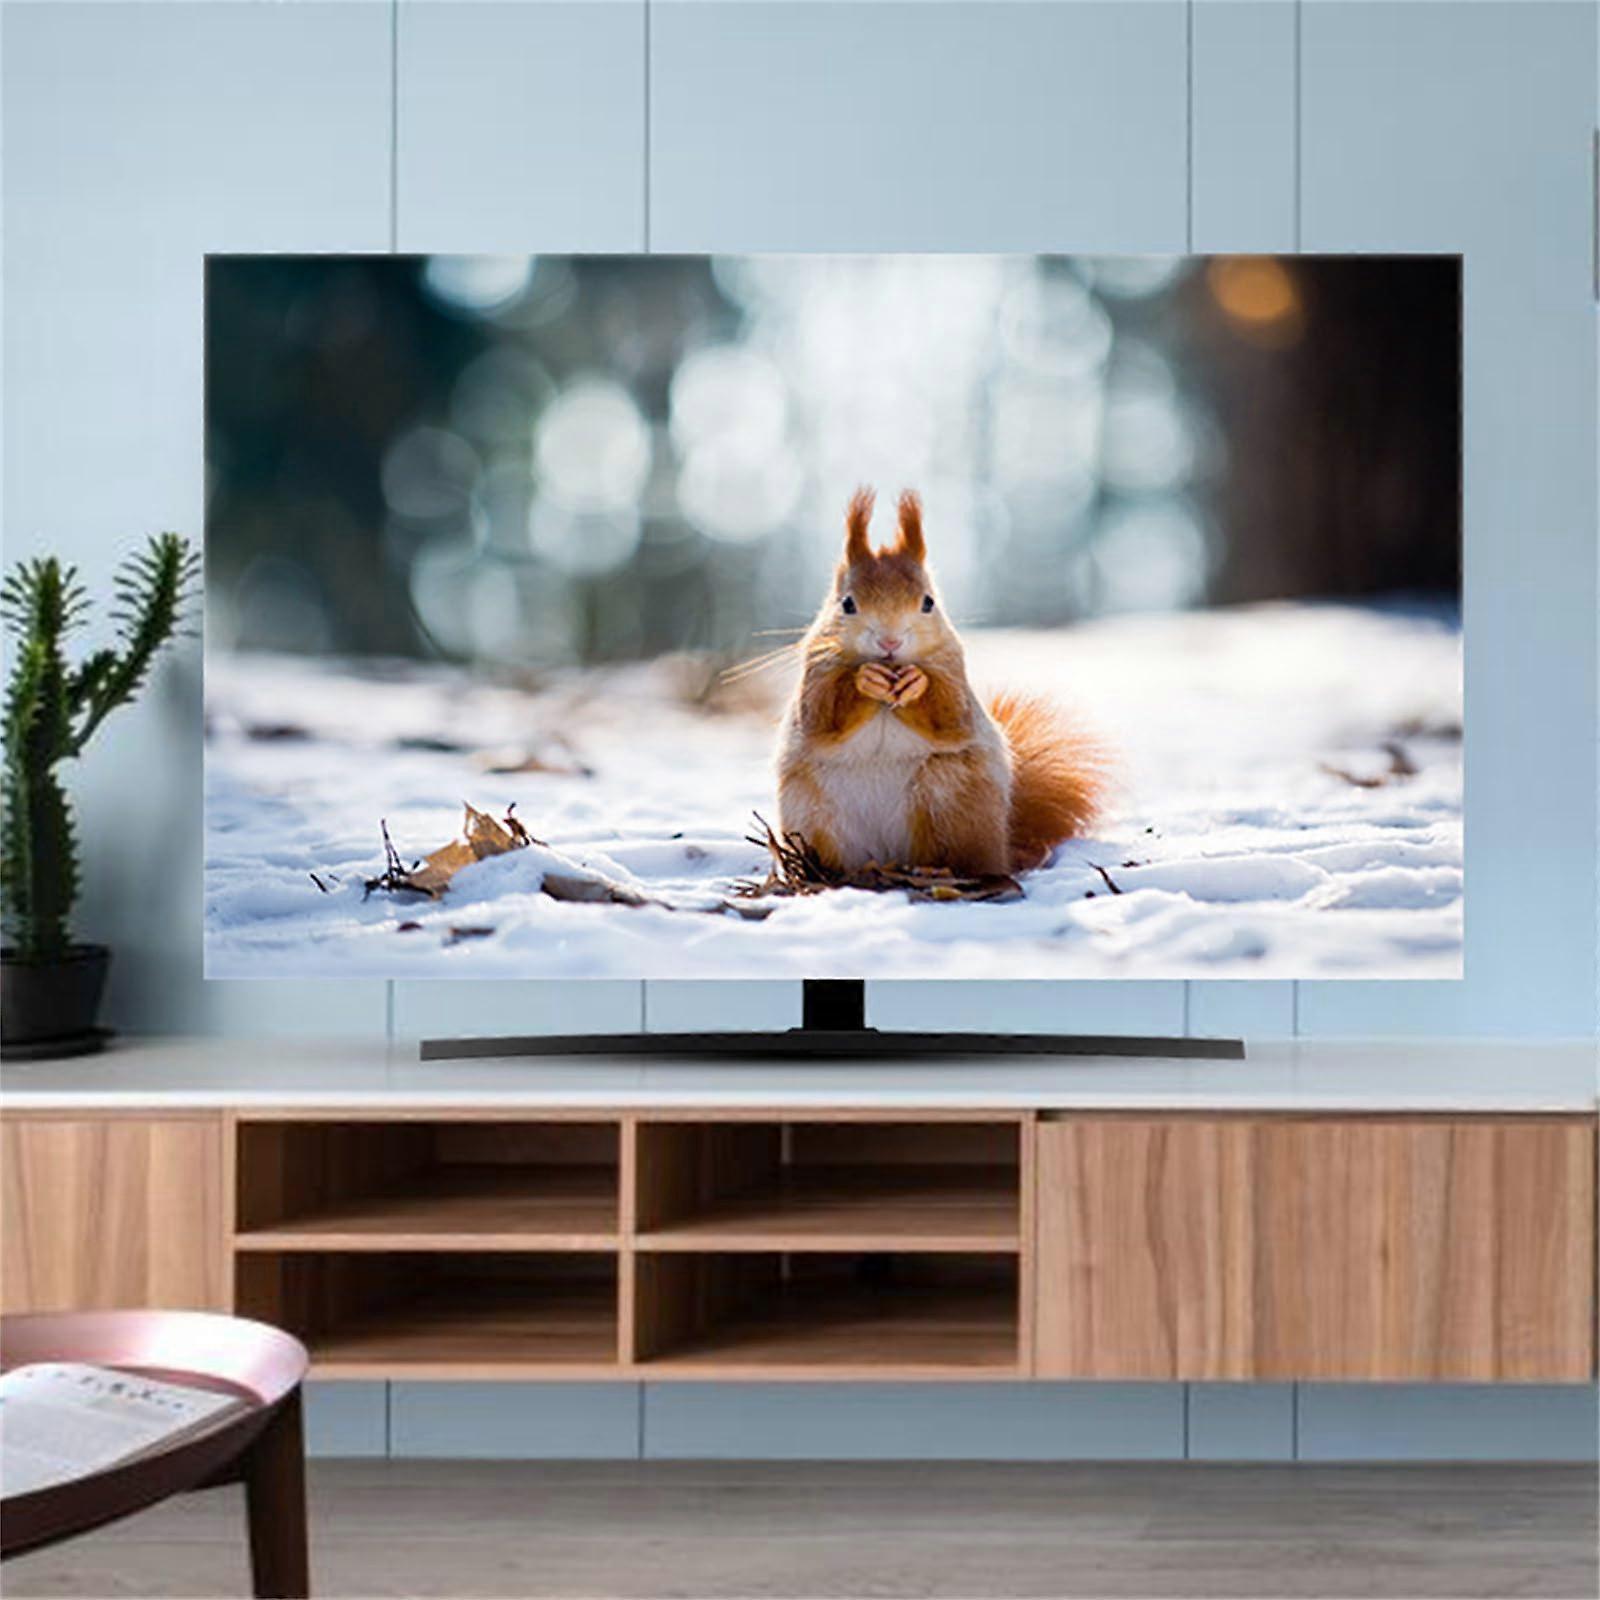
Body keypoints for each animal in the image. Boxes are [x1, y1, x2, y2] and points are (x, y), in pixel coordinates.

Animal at [776, 487, 1105, 879]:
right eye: (848, 604)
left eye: (928, 602)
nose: (890, 642)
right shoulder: (816, 674)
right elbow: (822, 716)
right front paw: (863, 679)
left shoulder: (954, 674)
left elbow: (949, 717)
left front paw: (916, 683)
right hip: (812, 814)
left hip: (949, 797)